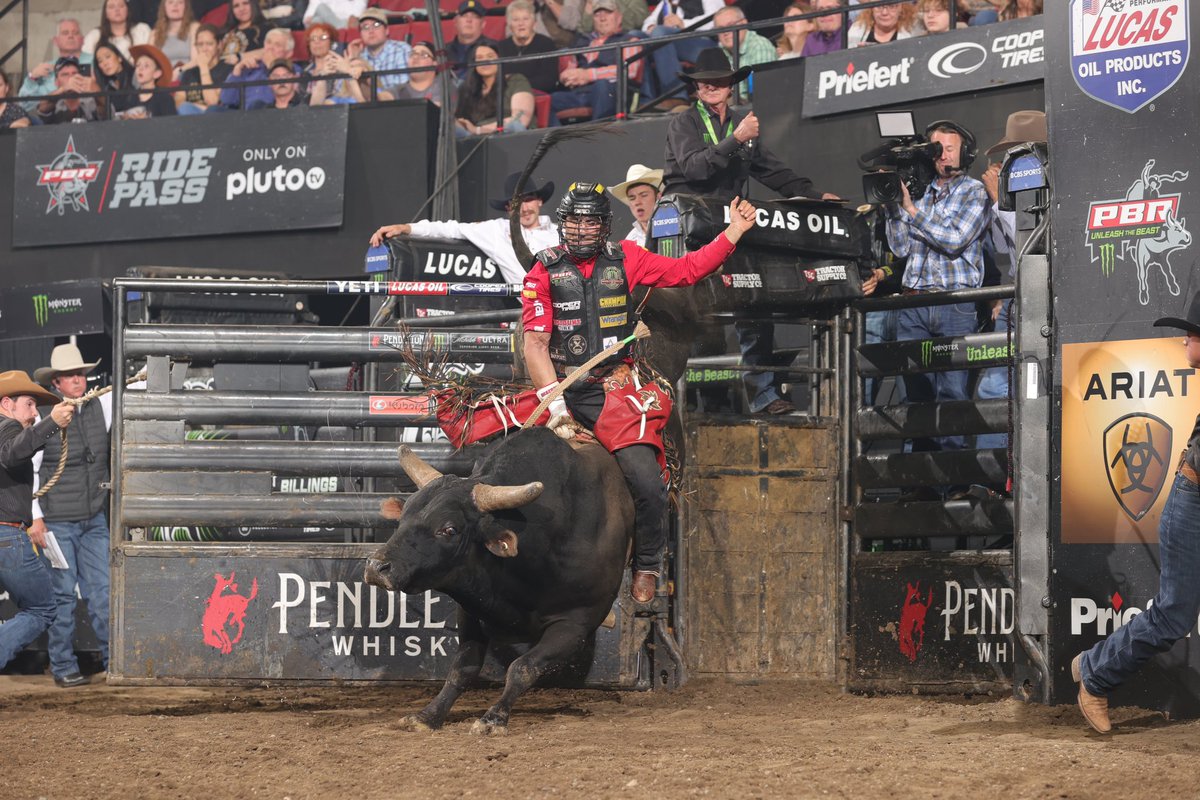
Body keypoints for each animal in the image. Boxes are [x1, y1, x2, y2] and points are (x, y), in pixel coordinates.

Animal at [360, 429, 633, 734]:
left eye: (449, 529)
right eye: (403, 516)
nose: (377, 566)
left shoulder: (576, 623)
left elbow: (523, 667)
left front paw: (493, 718)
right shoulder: (471, 612)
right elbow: (462, 668)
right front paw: (428, 715)